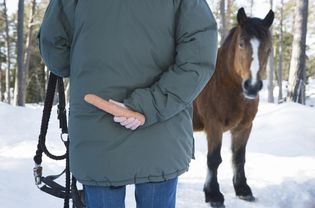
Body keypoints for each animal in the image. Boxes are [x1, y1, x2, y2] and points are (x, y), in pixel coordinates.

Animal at [193, 7, 274, 207]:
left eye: (268, 48)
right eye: (241, 44)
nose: (252, 86)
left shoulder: (243, 127)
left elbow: (239, 158)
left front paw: (243, 189)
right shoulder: (214, 125)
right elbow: (214, 159)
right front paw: (213, 194)